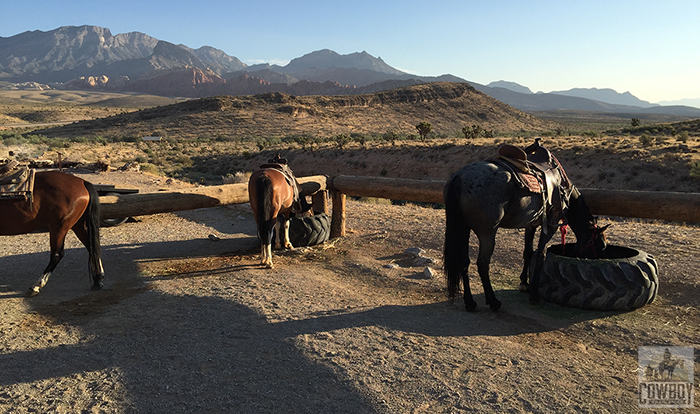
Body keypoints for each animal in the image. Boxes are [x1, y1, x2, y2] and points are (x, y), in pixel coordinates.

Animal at [446, 158, 608, 310]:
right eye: (602, 246)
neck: (563, 189)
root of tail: (459, 178)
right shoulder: (551, 226)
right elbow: (541, 254)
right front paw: (534, 295)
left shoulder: (531, 225)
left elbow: (528, 252)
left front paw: (524, 283)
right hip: (487, 234)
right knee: (482, 264)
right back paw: (493, 302)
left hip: (464, 229)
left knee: (464, 262)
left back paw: (470, 302)